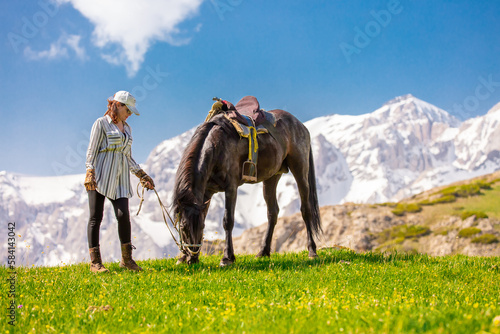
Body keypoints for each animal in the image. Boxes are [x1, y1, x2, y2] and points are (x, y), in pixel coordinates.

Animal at [172, 107, 320, 266]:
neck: (218, 145)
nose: (192, 258)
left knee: (306, 210)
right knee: (272, 213)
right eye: (183, 228)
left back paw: (312, 251)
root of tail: (301, 126)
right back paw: (263, 252)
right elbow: (205, 215)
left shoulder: (231, 187)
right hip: (271, 177)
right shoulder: (206, 192)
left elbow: (228, 221)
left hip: (300, 169)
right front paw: (183, 258)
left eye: (200, 227)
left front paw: (227, 258)